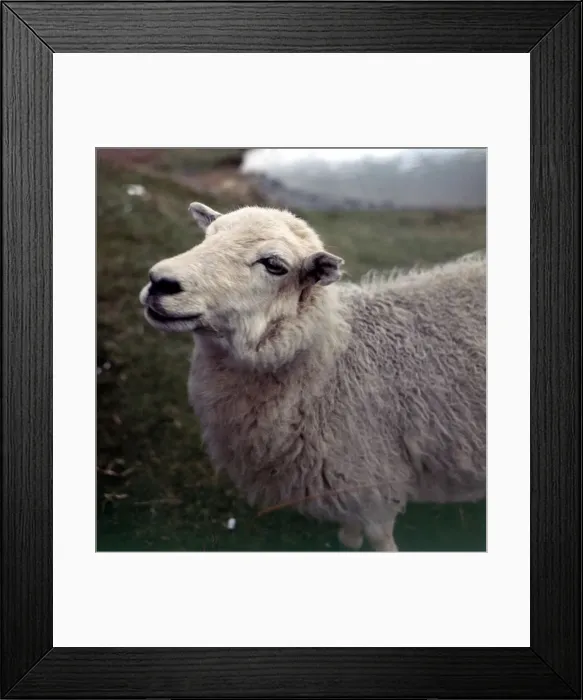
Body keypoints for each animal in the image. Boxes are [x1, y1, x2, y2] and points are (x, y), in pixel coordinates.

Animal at [139, 202, 486, 551]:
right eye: (208, 236)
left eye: (274, 265)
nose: (160, 282)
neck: (332, 370)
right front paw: (349, 540)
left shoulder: (372, 484)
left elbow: (380, 539)